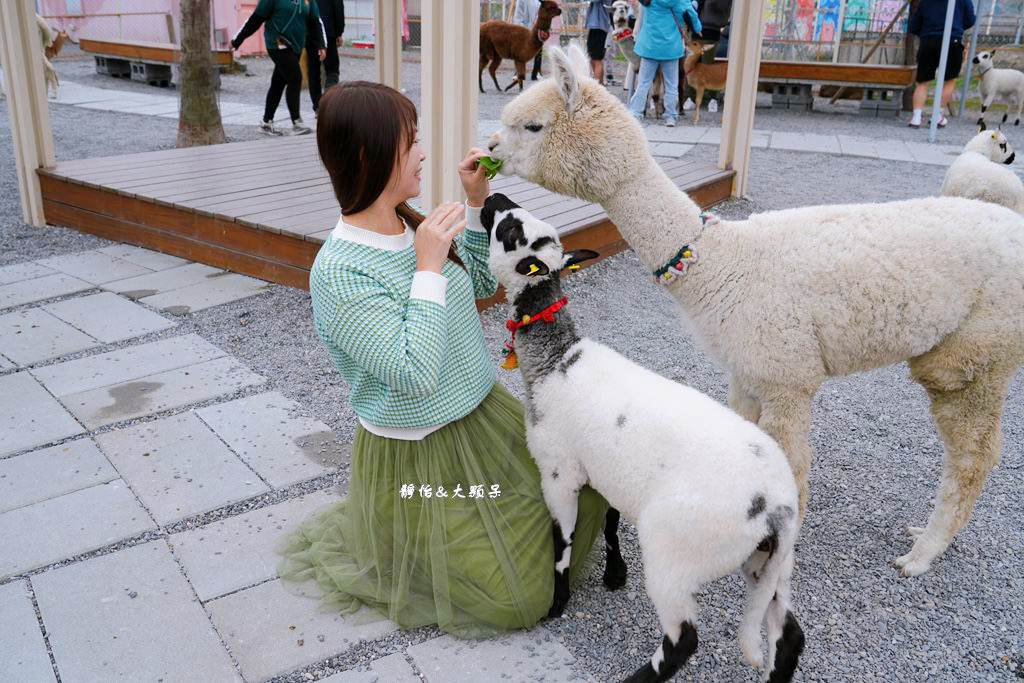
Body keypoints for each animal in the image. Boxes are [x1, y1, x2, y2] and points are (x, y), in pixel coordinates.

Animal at [479, 193, 806, 683]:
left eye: (511, 229)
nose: (491, 197)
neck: (556, 359)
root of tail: (777, 508)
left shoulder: (558, 472)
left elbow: (562, 542)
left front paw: (557, 603)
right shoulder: (605, 468)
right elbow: (612, 519)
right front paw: (615, 573)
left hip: (676, 551)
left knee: (683, 639)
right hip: (769, 563)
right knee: (789, 637)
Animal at [485, 41, 1024, 577]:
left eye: (532, 126)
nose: (488, 148)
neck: (726, 263)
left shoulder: (787, 376)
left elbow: (793, 466)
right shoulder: (746, 372)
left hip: (974, 354)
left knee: (972, 457)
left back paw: (921, 553)